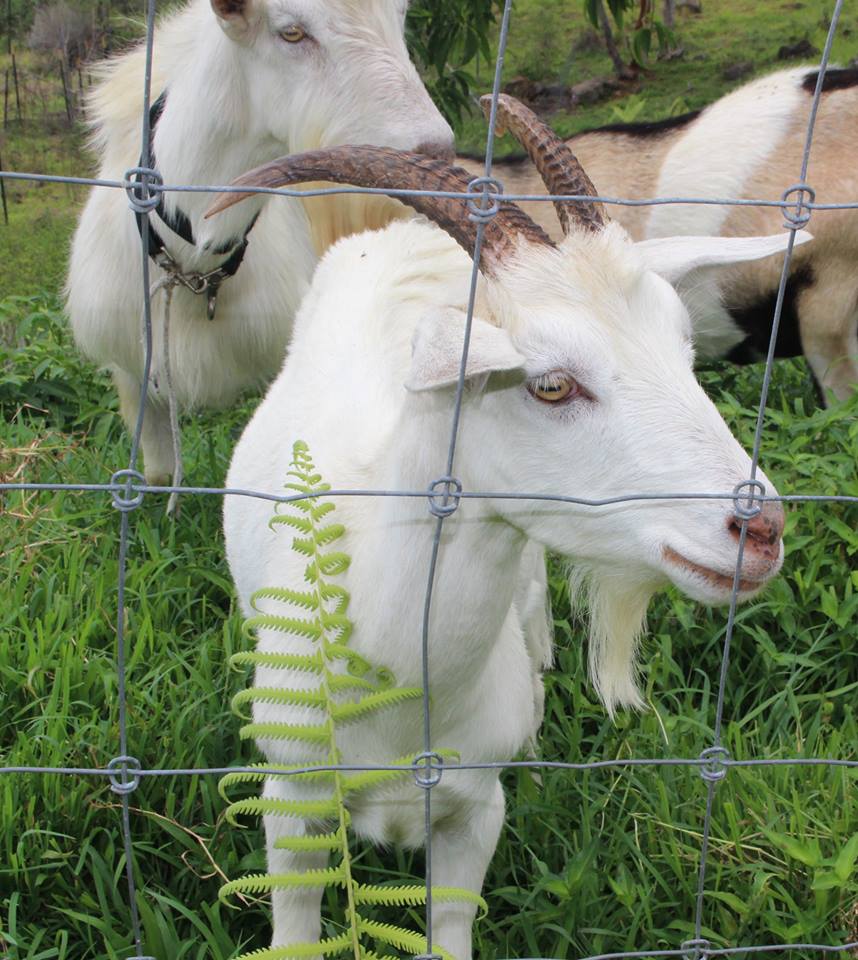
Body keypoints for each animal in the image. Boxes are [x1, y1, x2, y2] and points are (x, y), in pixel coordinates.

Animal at [64, 0, 452, 484]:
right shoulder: (131, 370)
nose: (435, 153)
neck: (194, 263)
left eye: (400, 16)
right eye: (291, 32)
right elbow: (155, 476)